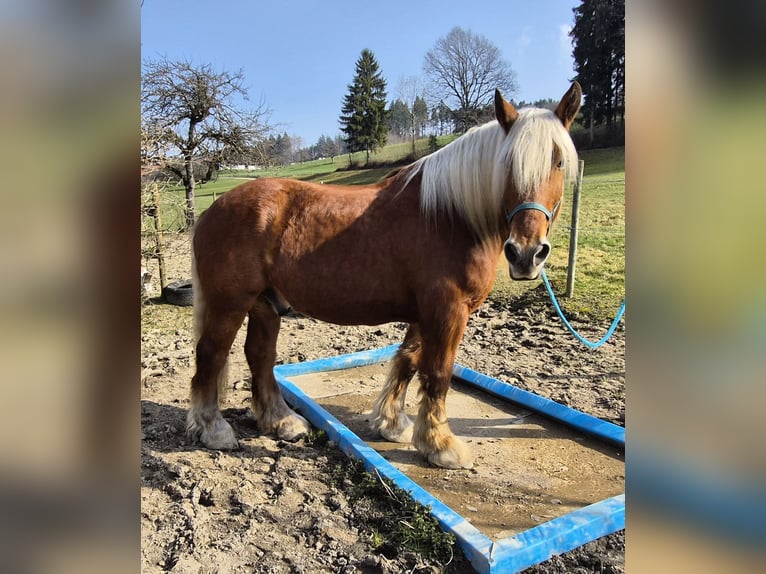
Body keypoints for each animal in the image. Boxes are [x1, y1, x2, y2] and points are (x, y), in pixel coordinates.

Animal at [187, 83, 581, 469]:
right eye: (508, 164)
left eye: (559, 162)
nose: (527, 253)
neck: (451, 216)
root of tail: (212, 210)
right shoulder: (448, 310)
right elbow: (438, 373)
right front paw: (442, 447)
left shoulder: (425, 313)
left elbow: (408, 361)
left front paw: (393, 425)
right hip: (230, 303)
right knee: (211, 353)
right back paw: (214, 430)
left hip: (265, 304)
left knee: (260, 355)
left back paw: (281, 421)